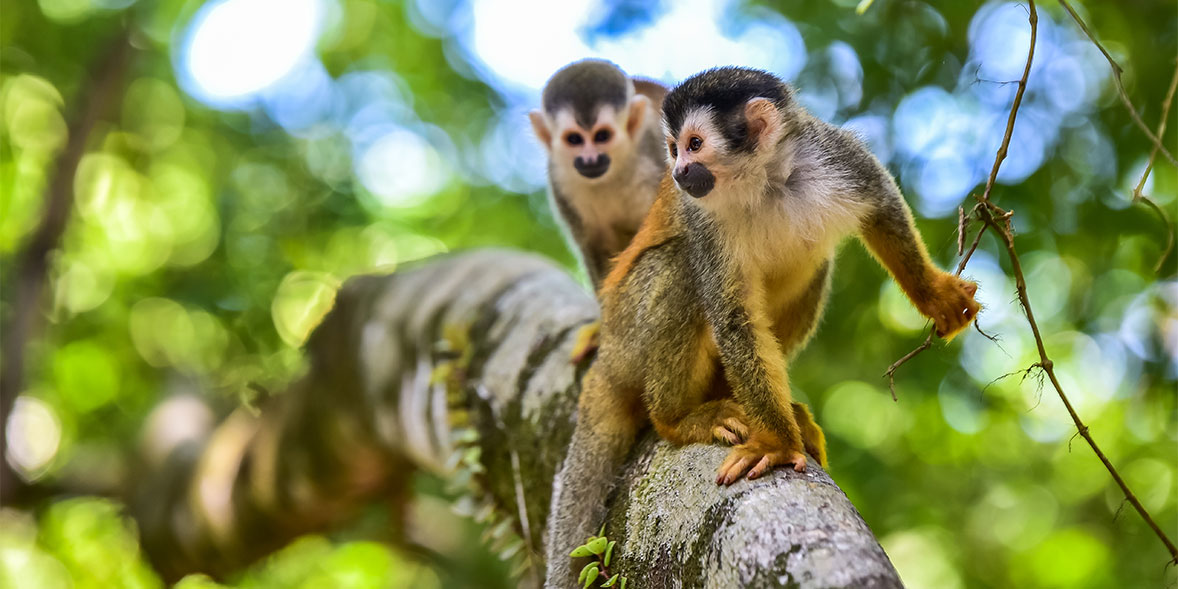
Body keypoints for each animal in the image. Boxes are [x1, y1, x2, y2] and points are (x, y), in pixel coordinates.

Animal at [529, 59, 669, 291]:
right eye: (574, 139)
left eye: (602, 136)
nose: (590, 160)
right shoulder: (561, 181)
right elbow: (596, 245)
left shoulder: (654, 152)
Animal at [543, 67, 979, 586]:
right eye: (673, 148)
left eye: (693, 144)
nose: (678, 172)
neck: (766, 180)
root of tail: (607, 352)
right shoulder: (703, 218)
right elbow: (733, 315)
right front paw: (775, 442)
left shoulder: (834, 155)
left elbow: (882, 205)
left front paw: (933, 294)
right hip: (630, 333)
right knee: (680, 265)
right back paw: (677, 417)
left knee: (816, 267)